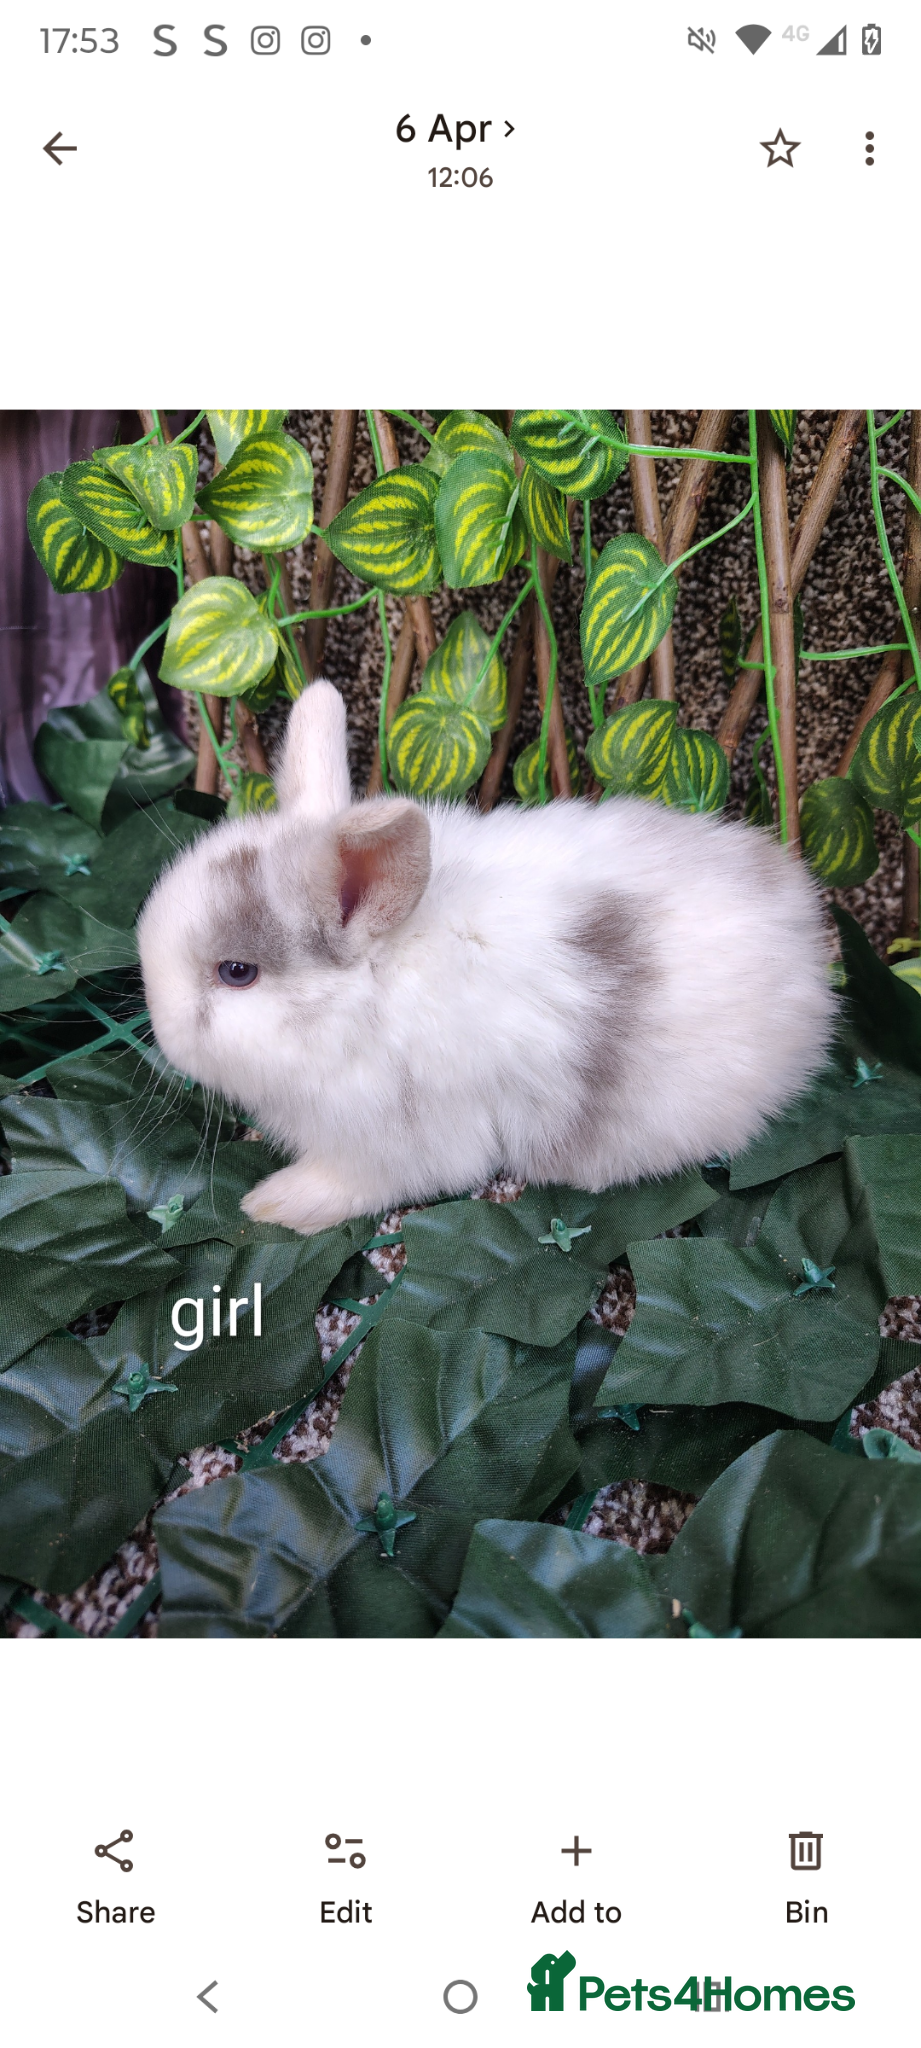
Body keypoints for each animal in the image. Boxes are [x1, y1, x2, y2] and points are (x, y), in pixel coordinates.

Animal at [137, 680, 836, 1236]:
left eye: (237, 973)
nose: (162, 1031)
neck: (370, 993)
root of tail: (810, 954)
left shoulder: (402, 1142)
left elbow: (353, 1183)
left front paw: (274, 1204)